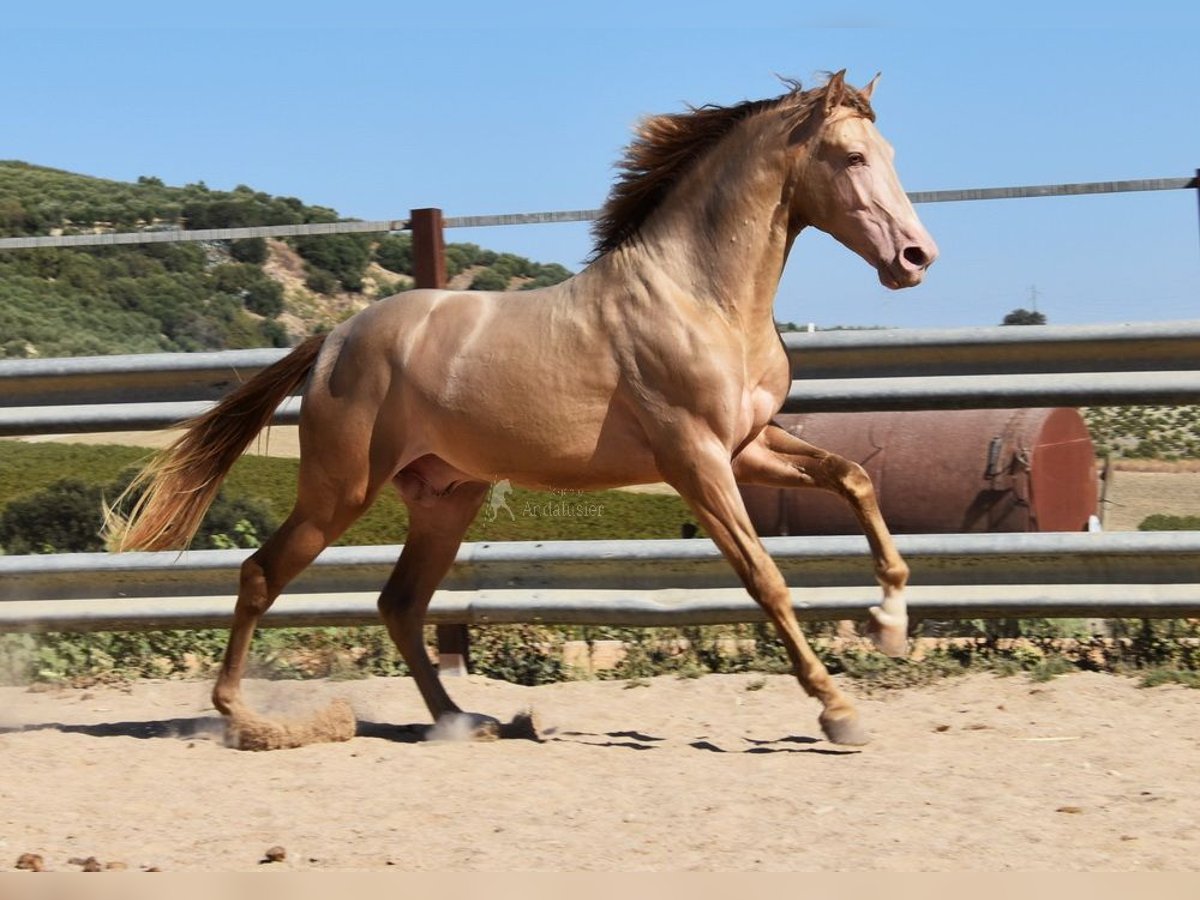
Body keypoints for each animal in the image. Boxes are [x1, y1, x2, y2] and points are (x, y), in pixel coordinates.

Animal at [110, 68, 936, 748]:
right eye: (852, 157)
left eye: (892, 151)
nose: (916, 258)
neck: (701, 298)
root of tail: (336, 338)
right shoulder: (696, 461)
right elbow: (766, 579)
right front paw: (840, 712)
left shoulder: (750, 445)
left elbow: (856, 478)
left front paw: (890, 624)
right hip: (338, 490)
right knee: (261, 575)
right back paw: (241, 719)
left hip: (446, 498)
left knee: (399, 603)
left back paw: (462, 720)